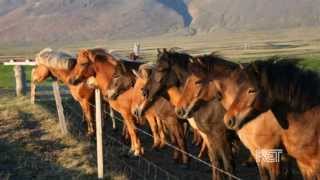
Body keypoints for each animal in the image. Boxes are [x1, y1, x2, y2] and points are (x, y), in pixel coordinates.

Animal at [138, 48, 235, 180]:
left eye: (161, 69)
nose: (145, 91)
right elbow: (176, 141)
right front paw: (178, 158)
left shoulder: (220, 135)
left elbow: (181, 140)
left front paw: (185, 162)